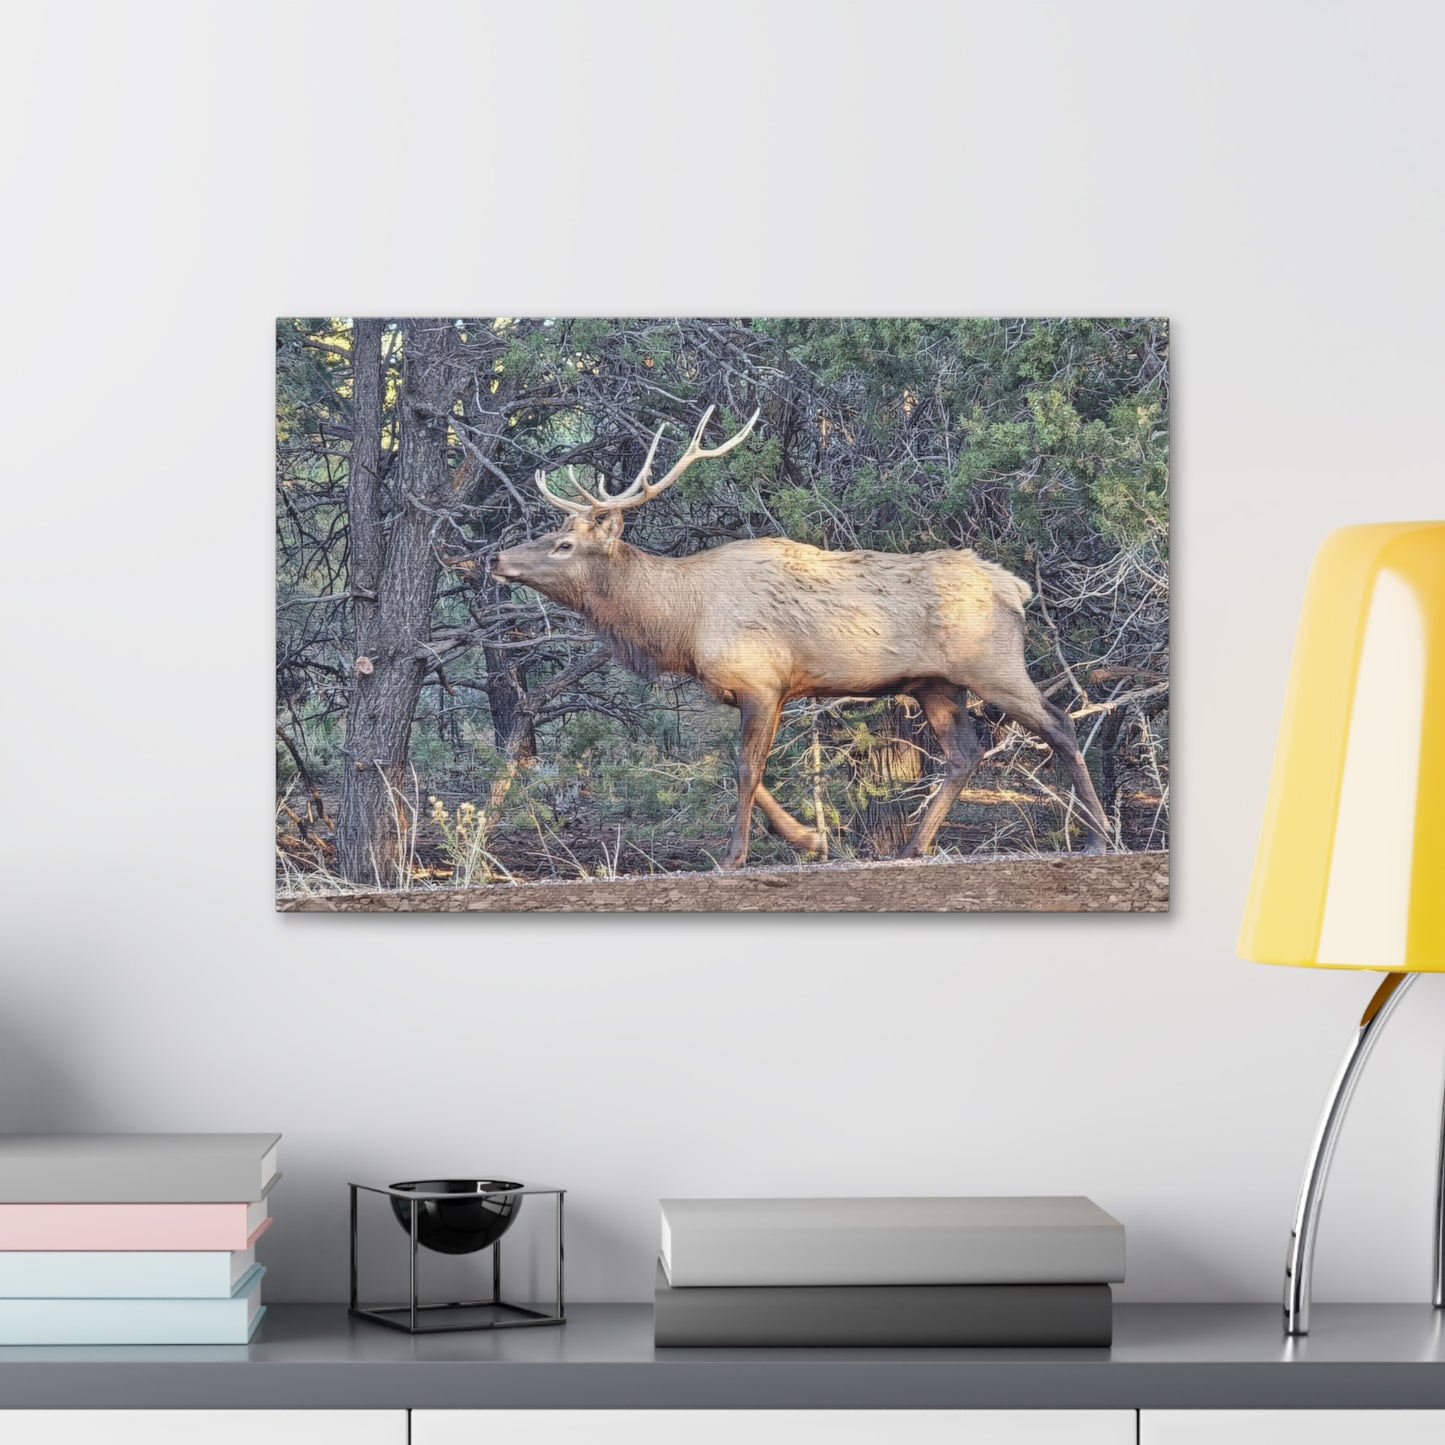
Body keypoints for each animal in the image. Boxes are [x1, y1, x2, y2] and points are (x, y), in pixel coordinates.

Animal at [490, 407, 1112, 871]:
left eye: (565, 545)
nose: (496, 557)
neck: (682, 626)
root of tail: (1016, 587)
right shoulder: (755, 689)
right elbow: (750, 769)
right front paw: (812, 839)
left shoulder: (761, 681)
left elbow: (745, 769)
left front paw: (735, 856)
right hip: (935, 684)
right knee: (965, 753)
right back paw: (912, 847)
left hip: (993, 665)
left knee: (1058, 723)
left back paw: (1098, 836)